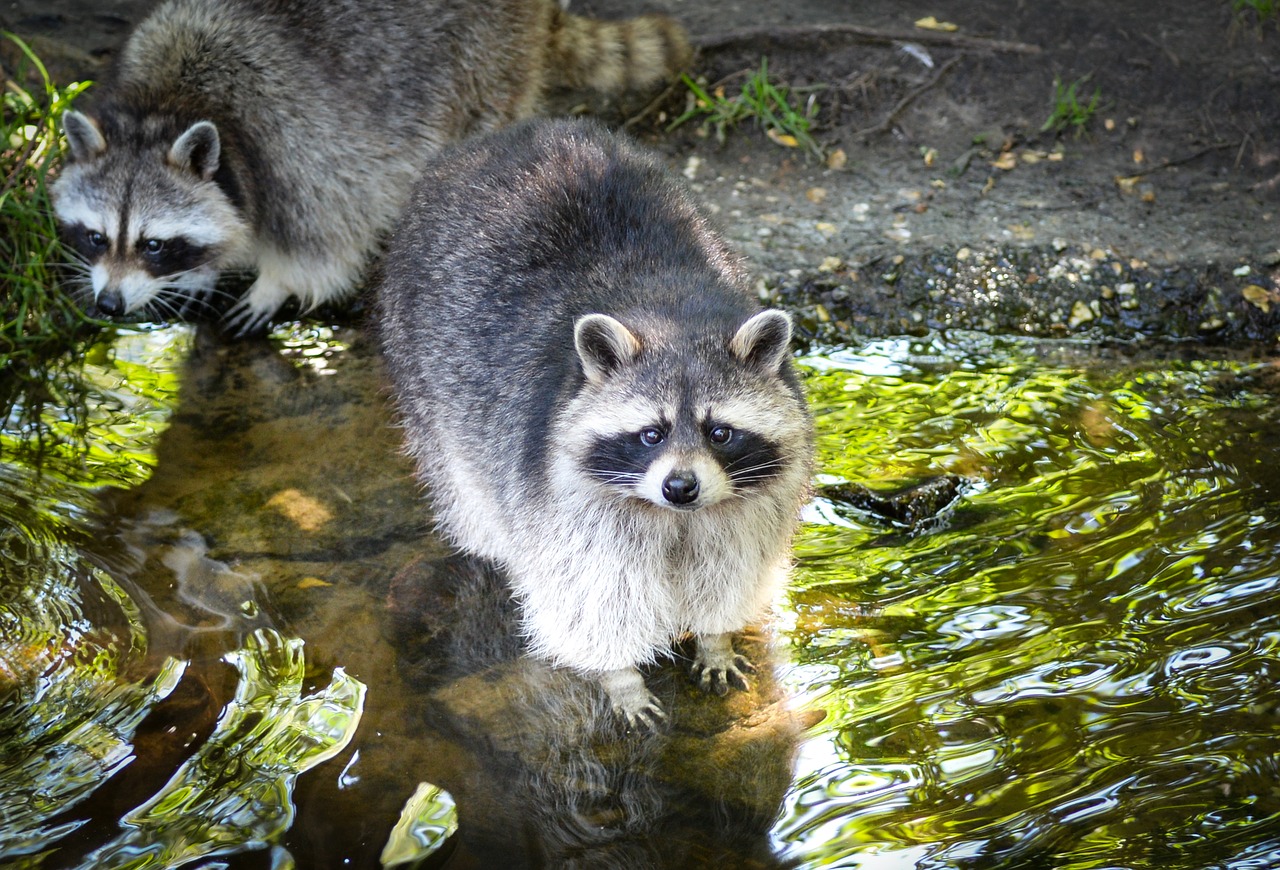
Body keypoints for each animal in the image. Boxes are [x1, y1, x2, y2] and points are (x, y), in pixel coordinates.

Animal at [49, 0, 691, 332]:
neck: (167, 105)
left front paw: (272, 283)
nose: (108, 305)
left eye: (153, 244)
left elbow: (324, 241)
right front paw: (207, 269)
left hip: (486, 60)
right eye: (95, 237)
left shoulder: (292, 141)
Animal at [376, 117, 808, 726]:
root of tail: (511, 133)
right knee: (469, 493)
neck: (671, 315)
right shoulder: (560, 495)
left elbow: (732, 567)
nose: (680, 487)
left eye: (719, 431)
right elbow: (590, 595)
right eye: (651, 433)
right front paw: (620, 676)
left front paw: (715, 637)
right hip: (417, 364)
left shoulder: (754, 505)